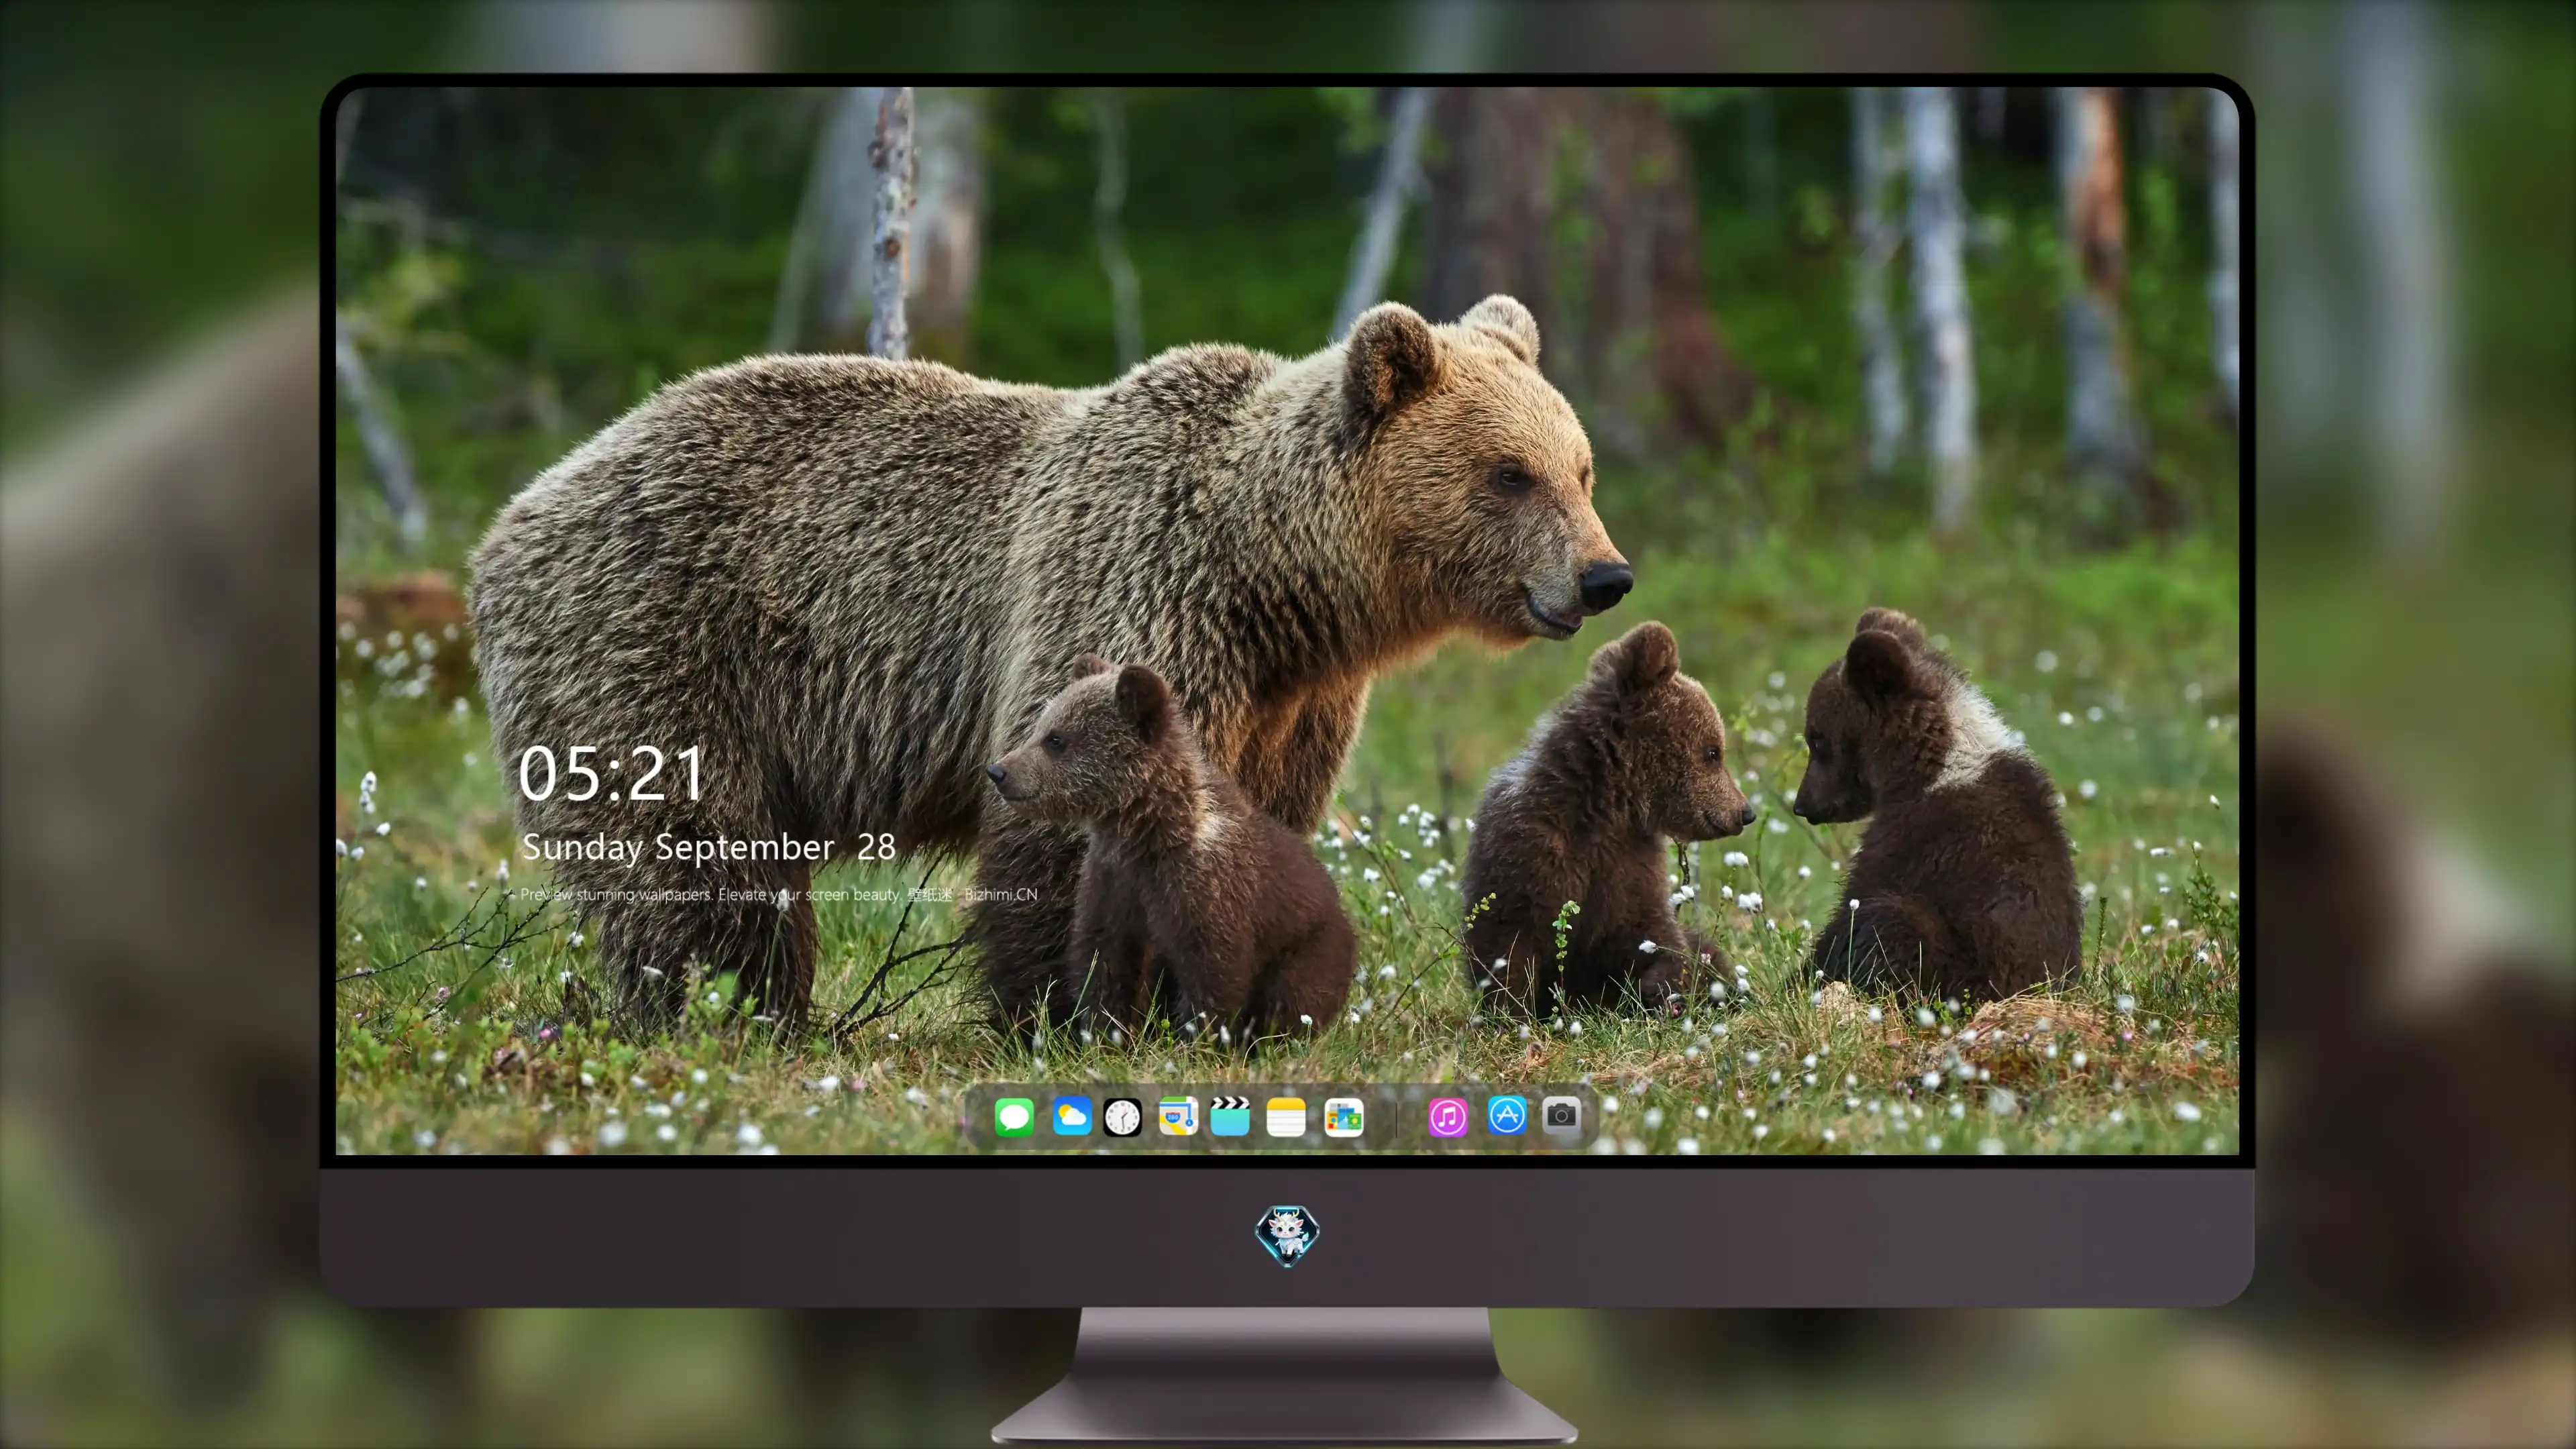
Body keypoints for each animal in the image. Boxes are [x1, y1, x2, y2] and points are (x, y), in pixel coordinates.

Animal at [985, 655, 1354, 1039]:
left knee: (1292, 998)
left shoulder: (1206, 889)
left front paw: (1196, 1037)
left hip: (1310, 948)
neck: (1146, 830)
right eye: (1042, 726)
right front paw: (1105, 1034)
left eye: (1056, 739)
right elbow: (1103, 962)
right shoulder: (1111, 881)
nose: (998, 771)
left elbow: (1213, 973)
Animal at [1460, 620, 1757, 1014]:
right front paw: (1511, 1012)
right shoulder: (1528, 850)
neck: (1606, 807)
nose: (1745, 812)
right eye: (1713, 751)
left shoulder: (1629, 865)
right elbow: (1505, 942)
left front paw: (1660, 986)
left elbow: (1654, 935)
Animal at [1790, 607, 2082, 999]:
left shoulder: (1919, 840)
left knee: (1888, 921)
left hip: (1961, 968)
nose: (1803, 805)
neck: (1929, 767)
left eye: (1817, 740)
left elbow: (1855, 903)